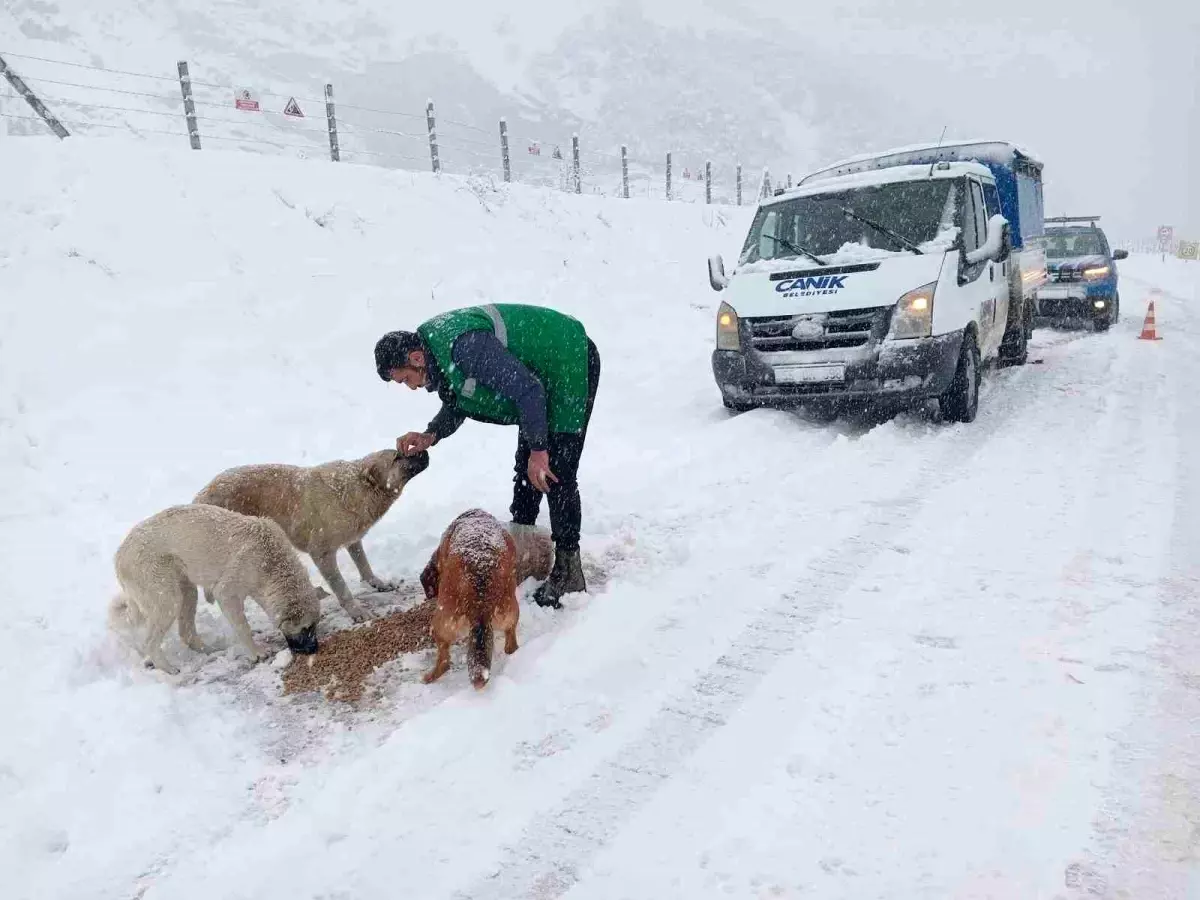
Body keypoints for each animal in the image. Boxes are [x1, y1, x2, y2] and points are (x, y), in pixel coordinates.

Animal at [111, 504, 326, 672]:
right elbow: (243, 627)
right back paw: (169, 670)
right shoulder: (227, 592)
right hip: (167, 598)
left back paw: (210, 651)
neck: (271, 564)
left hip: (186, 590)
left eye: (315, 625)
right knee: (150, 641)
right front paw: (257, 652)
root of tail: (120, 554)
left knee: (186, 633)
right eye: (306, 628)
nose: (314, 649)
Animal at [192, 448, 427, 624]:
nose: (424, 450)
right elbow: (342, 588)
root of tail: (198, 499)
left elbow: (364, 565)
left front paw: (377, 583)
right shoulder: (322, 553)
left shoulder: (353, 540)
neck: (356, 488)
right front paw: (356, 612)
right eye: (397, 457)